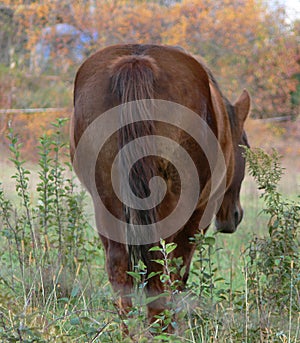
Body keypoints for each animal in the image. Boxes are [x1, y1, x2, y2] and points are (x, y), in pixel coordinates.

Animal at [69, 45, 248, 326]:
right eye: (245, 150)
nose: (235, 216)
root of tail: (137, 62)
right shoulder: (199, 216)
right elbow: (178, 271)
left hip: (106, 204)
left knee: (119, 267)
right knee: (158, 263)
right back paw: (161, 325)